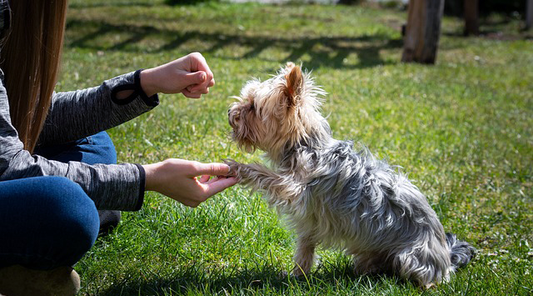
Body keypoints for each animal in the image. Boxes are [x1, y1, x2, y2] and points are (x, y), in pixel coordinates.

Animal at [224, 62, 474, 286]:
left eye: (252, 107)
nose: (229, 112)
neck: (306, 145)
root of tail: (447, 257)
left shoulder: (294, 188)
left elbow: (266, 175)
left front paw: (238, 167)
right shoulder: (310, 219)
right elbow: (305, 248)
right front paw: (298, 275)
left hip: (411, 258)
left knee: (423, 278)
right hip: (370, 252)